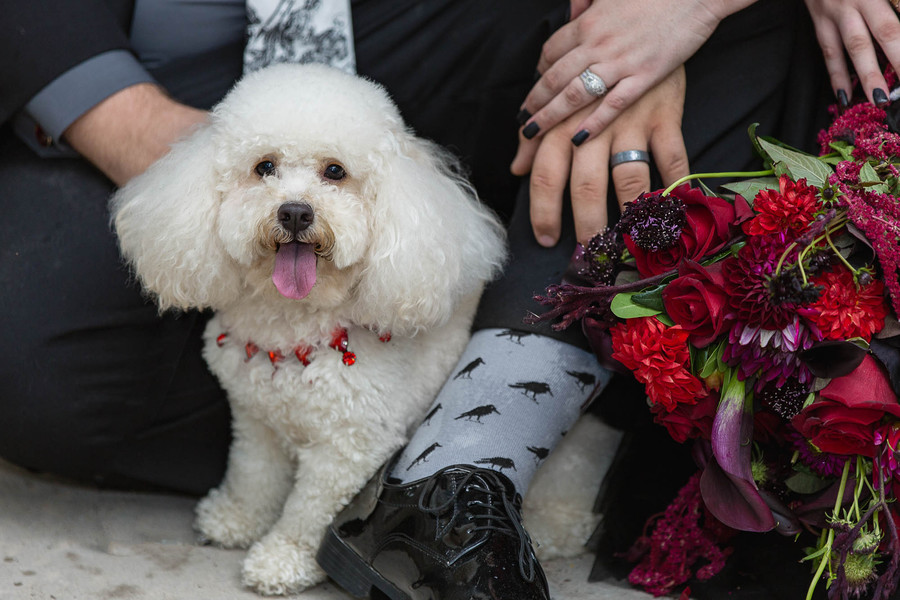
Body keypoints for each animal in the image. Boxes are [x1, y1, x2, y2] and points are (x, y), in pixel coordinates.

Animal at [109, 63, 510, 592]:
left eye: (335, 171)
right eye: (264, 167)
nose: (296, 211)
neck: (293, 323)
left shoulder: (349, 448)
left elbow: (309, 512)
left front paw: (284, 559)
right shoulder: (255, 418)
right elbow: (253, 474)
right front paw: (238, 518)